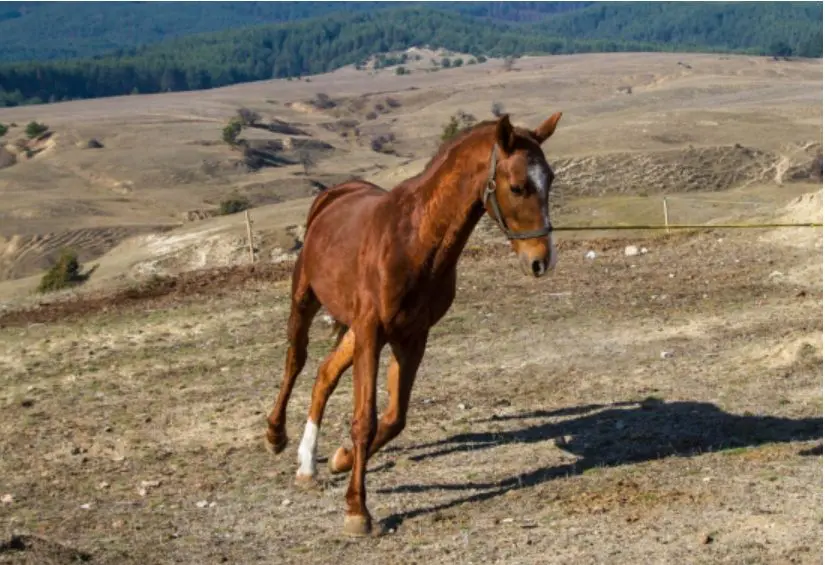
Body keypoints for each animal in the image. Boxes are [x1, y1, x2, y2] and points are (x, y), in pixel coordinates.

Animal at [268, 111, 564, 536]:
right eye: (518, 186)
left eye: (550, 179)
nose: (541, 261)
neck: (414, 240)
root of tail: (332, 196)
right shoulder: (372, 332)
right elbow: (365, 419)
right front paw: (357, 510)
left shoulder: (411, 336)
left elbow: (393, 420)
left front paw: (342, 458)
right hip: (305, 300)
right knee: (296, 361)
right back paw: (276, 435)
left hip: (356, 330)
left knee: (325, 373)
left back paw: (308, 462)